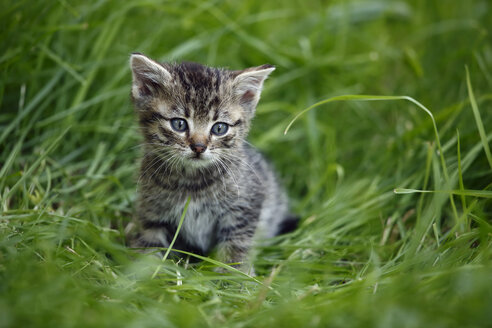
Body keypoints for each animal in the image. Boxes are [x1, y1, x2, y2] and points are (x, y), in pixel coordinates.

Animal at [130, 53, 296, 270]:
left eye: (219, 128)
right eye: (179, 124)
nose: (199, 147)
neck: (191, 181)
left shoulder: (245, 206)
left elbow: (236, 245)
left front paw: (232, 275)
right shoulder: (152, 212)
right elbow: (149, 243)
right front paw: (142, 273)